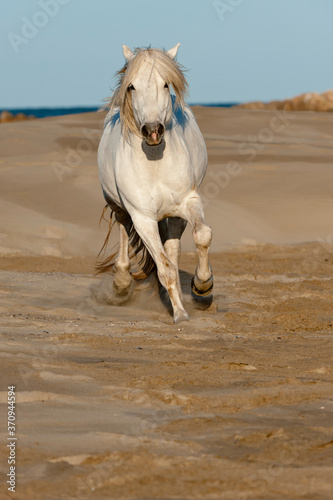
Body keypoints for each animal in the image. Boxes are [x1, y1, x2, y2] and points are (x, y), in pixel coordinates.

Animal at [97, 44, 211, 324]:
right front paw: (180, 314)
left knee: (172, 248)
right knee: (125, 234)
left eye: (166, 84)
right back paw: (121, 283)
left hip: (174, 216)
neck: (155, 161)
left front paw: (202, 286)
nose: (152, 130)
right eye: (131, 86)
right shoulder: (143, 218)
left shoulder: (189, 201)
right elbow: (164, 268)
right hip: (120, 208)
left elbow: (202, 236)